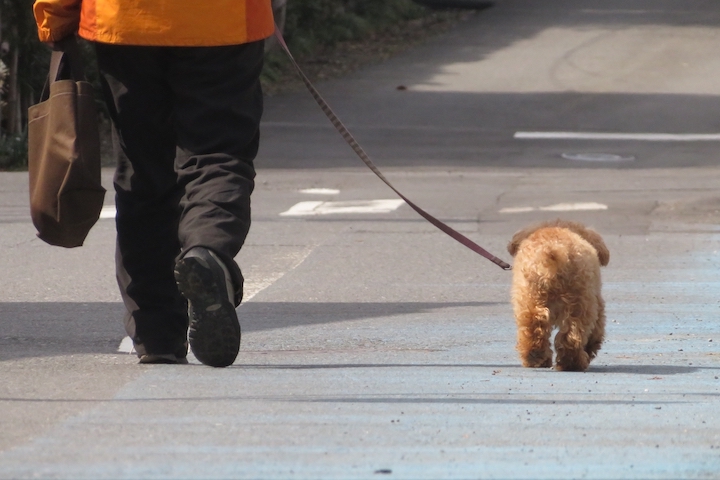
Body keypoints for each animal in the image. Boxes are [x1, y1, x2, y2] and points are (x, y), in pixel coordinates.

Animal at [506, 219, 608, 374]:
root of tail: (553, 250)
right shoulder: (597, 304)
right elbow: (596, 330)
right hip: (581, 303)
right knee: (573, 336)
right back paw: (573, 363)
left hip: (530, 299)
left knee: (534, 327)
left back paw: (535, 357)